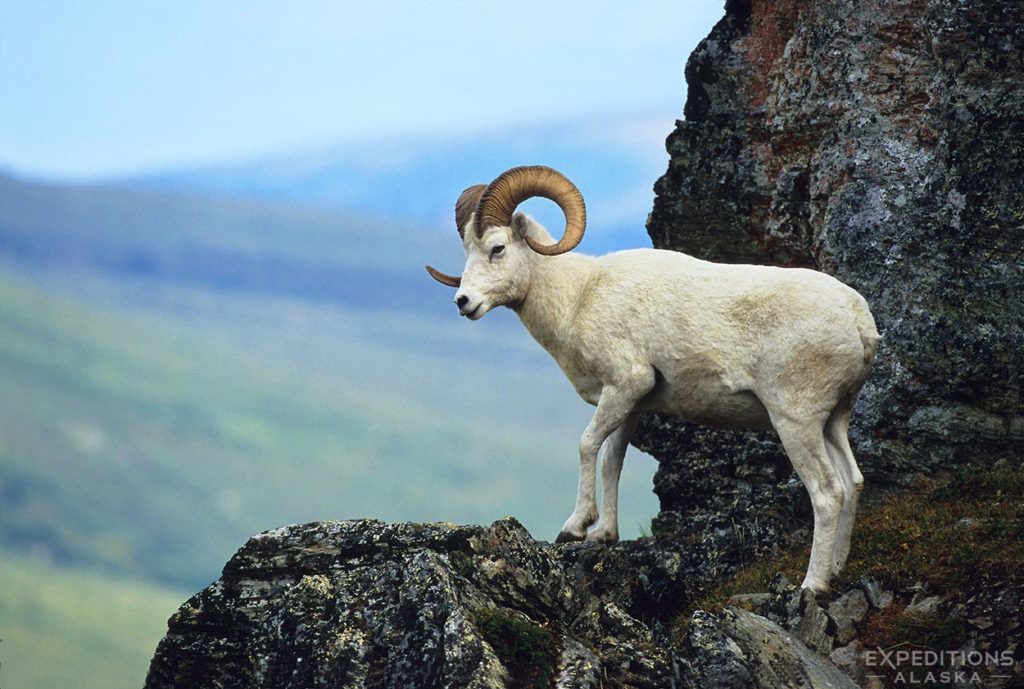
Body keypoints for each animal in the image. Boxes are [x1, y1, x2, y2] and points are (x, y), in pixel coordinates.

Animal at [423, 164, 880, 589]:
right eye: (467, 250)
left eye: (497, 248)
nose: (463, 302)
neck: (579, 296)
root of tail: (860, 323)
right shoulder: (630, 404)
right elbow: (612, 460)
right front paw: (605, 534)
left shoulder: (626, 384)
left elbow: (587, 445)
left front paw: (575, 527)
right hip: (832, 421)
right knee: (853, 482)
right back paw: (837, 570)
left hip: (795, 421)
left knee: (828, 494)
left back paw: (812, 587)